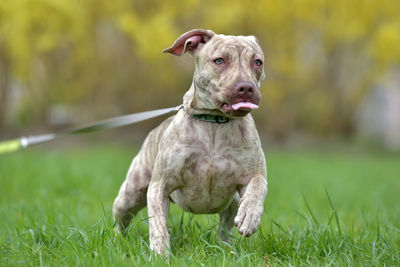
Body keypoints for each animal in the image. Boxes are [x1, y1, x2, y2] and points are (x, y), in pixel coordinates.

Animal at [112, 28, 268, 255]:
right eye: (219, 60)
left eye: (257, 62)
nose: (246, 88)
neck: (214, 123)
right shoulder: (160, 186)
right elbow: (158, 225)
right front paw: (160, 254)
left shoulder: (252, 174)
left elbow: (258, 186)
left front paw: (250, 215)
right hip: (132, 192)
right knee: (121, 216)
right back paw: (117, 241)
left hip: (231, 203)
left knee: (225, 226)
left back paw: (225, 247)